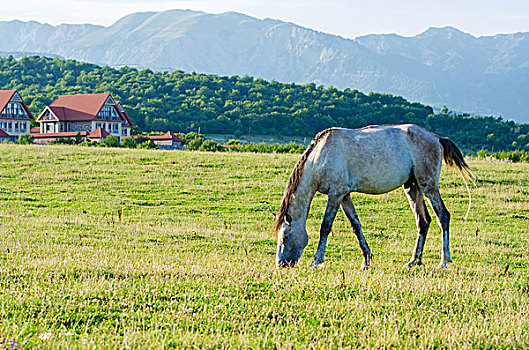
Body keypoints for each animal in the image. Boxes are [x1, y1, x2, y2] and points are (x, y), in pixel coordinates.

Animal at [272, 124, 474, 270]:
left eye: (285, 237)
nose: (281, 264)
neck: (321, 156)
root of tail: (437, 138)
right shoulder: (344, 195)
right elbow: (356, 226)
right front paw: (366, 260)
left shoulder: (335, 193)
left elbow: (325, 227)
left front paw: (316, 261)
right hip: (413, 186)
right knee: (423, 221)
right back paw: (414, 261)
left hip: (428, 185)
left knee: (443, 216)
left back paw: (444, 261)